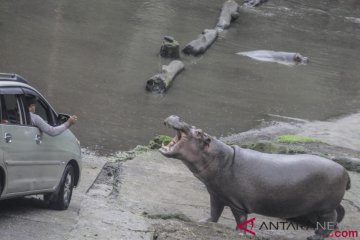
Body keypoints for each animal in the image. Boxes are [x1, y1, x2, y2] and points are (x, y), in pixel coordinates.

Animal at [160, 115, 352, 239]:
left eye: (199, 132)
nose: (175, 116)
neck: (220, 158)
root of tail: (345, 171)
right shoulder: (216, 195)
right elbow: (214, 211)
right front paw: (204, 221)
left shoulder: (236, 202)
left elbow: (240, 219)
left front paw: (239, 233)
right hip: (319, 208)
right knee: (331, 220)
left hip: (325, 208)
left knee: (330, 220)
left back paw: (315, 237)